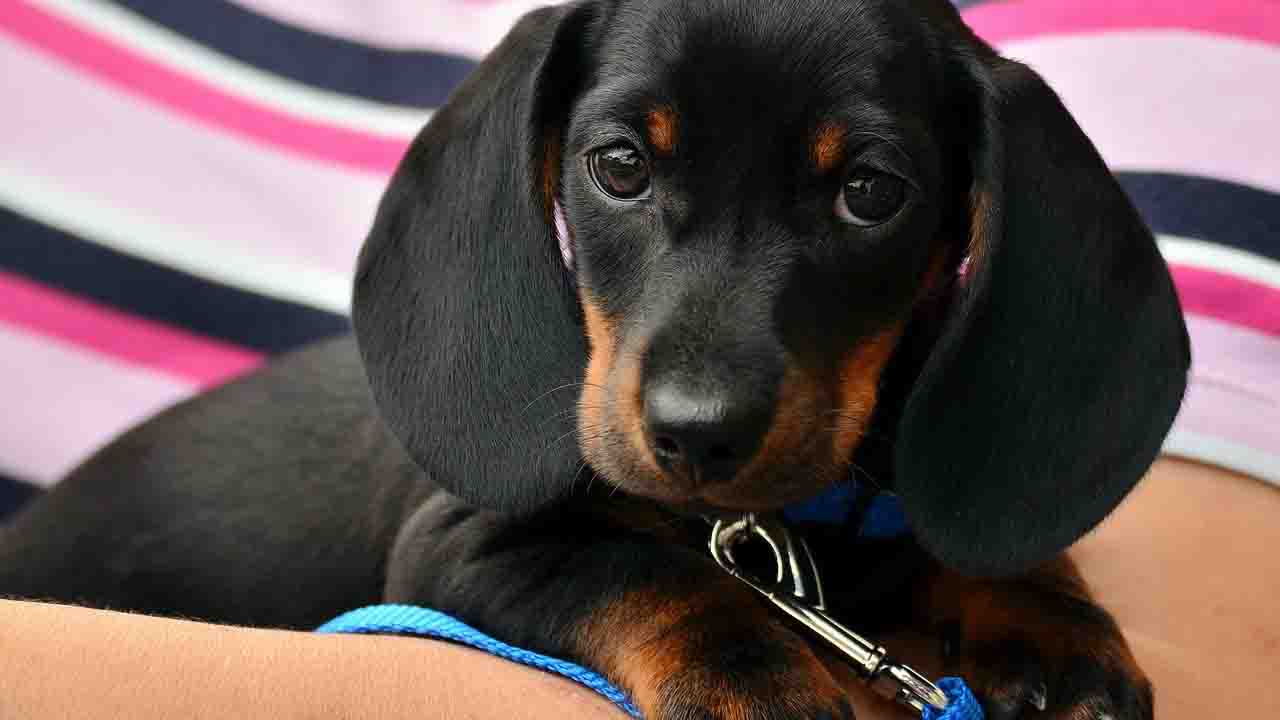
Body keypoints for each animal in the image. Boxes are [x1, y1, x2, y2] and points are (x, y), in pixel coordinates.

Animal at [0, 1, 1187, 717]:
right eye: (618, 165)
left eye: (870, 191)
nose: (697, 435)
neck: (775, 533)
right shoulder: (461, 545)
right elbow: (650, 573)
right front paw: (760, 677)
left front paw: (1049, 623)